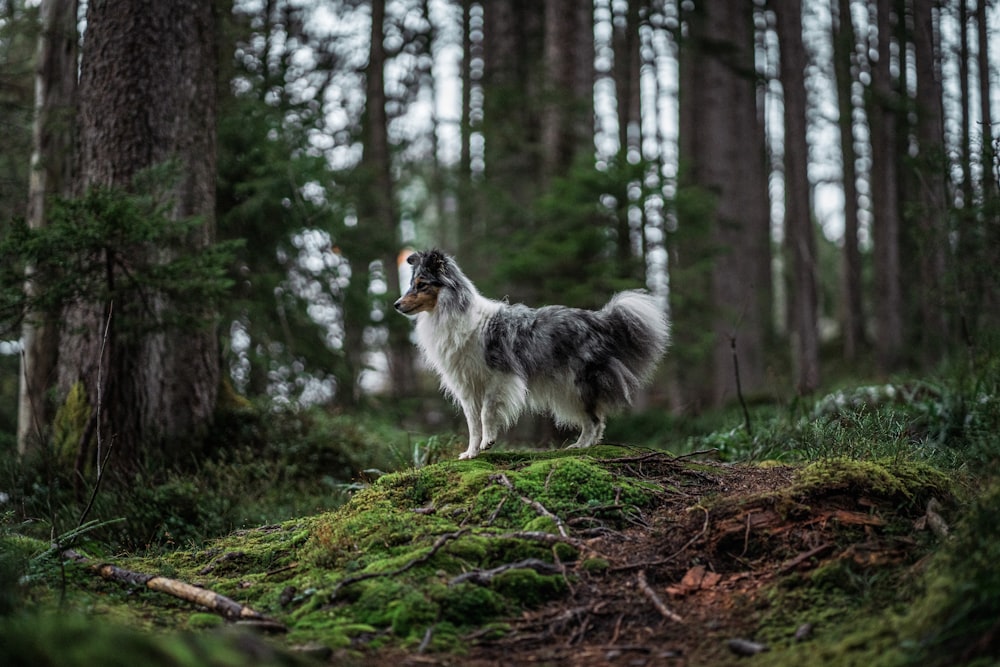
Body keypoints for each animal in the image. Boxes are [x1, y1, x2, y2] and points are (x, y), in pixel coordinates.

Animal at [394, 250, 668, 460]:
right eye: (411, 284)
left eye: (421, 284)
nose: (396, 305)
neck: (450, 313)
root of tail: (598, 319)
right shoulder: (467, 386)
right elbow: (472, 423)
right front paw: (471, 452)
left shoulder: (499, 377)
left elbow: (486, 413)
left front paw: (488, 442)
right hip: (567, 389)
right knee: (592, 419)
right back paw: (579, 445)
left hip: (577, 383)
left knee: (595, 419)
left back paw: (582, 447)